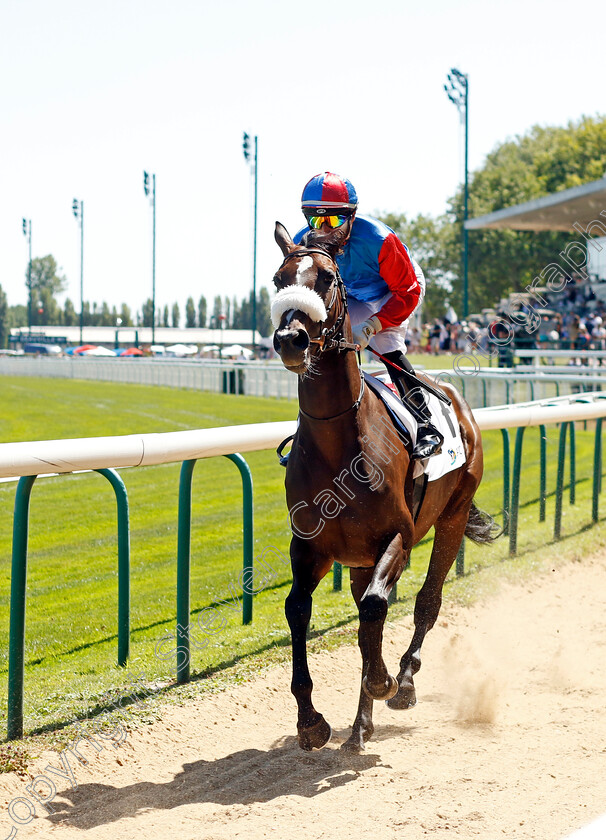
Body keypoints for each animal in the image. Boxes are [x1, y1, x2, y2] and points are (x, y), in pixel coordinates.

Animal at [272, 220, 498, 752]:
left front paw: (384, 681)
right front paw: (310, 720)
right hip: (357, 560)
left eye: (327, 278)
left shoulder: (399, 536)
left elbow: (378, 609)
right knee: (368, 618)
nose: (291, 339)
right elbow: (299, 609)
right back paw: (360, 725)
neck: (337, 442)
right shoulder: (310, 545)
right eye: (277, 279)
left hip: (453, 516)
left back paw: (404, 682)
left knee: (426, 603)